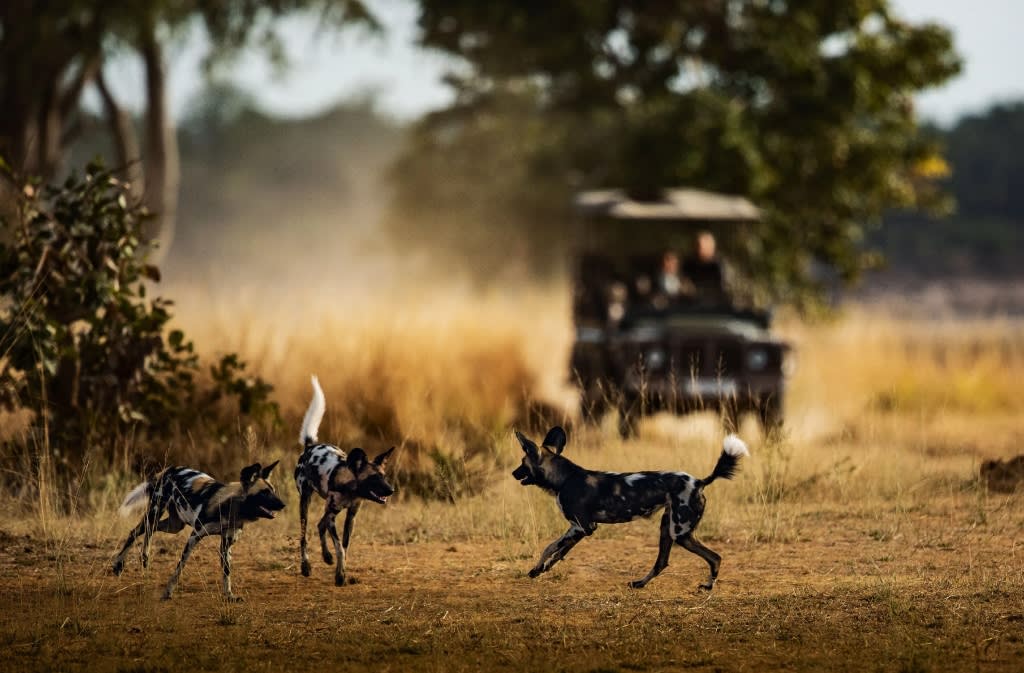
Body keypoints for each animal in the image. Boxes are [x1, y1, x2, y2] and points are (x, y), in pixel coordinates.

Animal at [112, 463, 286, 598]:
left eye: (273, 490)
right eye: (264, 492)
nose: (283, 504)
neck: (232, 508)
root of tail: (168, 469)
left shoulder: (226, 544)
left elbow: (226, 572)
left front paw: (229, 596)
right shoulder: (194, 536)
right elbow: (180, 567)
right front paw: (168, 592)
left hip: (174, 525)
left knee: (150, 530)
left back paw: (144, 558)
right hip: (155, 513)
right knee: (134, 531)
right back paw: (118, 565)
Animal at [294, 374, 397, 585]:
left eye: (383, 477)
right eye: (373, 479)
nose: (391, 490)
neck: (351, 490)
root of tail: (310, 447)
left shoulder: (351, 515)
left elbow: (345, 547)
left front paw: (342, 571)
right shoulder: (334, 517)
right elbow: (340, 547)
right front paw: (340, 576)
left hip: (329, 510)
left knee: (320, 524)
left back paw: (326, 557)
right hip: (305, 502)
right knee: (304, 535)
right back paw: (305, 566)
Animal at [516, 426, 749, 590]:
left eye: (522, 463)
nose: (513, 473)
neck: (564, 479)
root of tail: (699, 481)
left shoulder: (583, 527)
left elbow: (551, 548)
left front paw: (538, 569)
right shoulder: (580, 528)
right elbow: (555, 551)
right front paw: (539, 570)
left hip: (680, 533)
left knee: (714, 557)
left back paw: (708, 587)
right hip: (668, 529)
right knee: (665, 562)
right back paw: (640, 584)